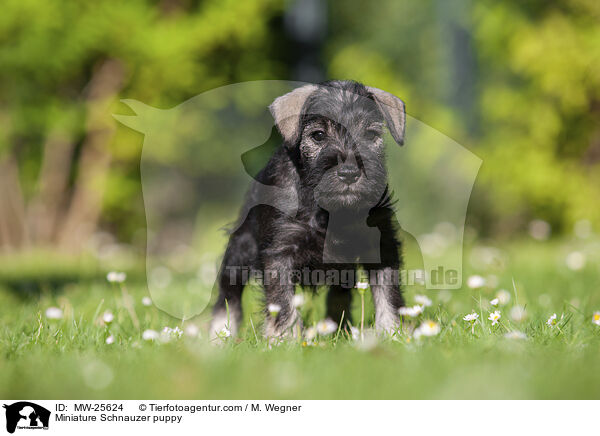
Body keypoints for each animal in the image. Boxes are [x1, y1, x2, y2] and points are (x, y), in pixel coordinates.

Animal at [210, 80, 408, 338]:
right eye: (319, 135)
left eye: (371, 134)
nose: (349, 173)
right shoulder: (280, 252)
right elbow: (282, 303)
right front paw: (284, 338)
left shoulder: (381, 245)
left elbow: (388, 294)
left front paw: (393, 332)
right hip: (238, 252)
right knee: (228, 297)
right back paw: (219, 336)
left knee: (339, 297)